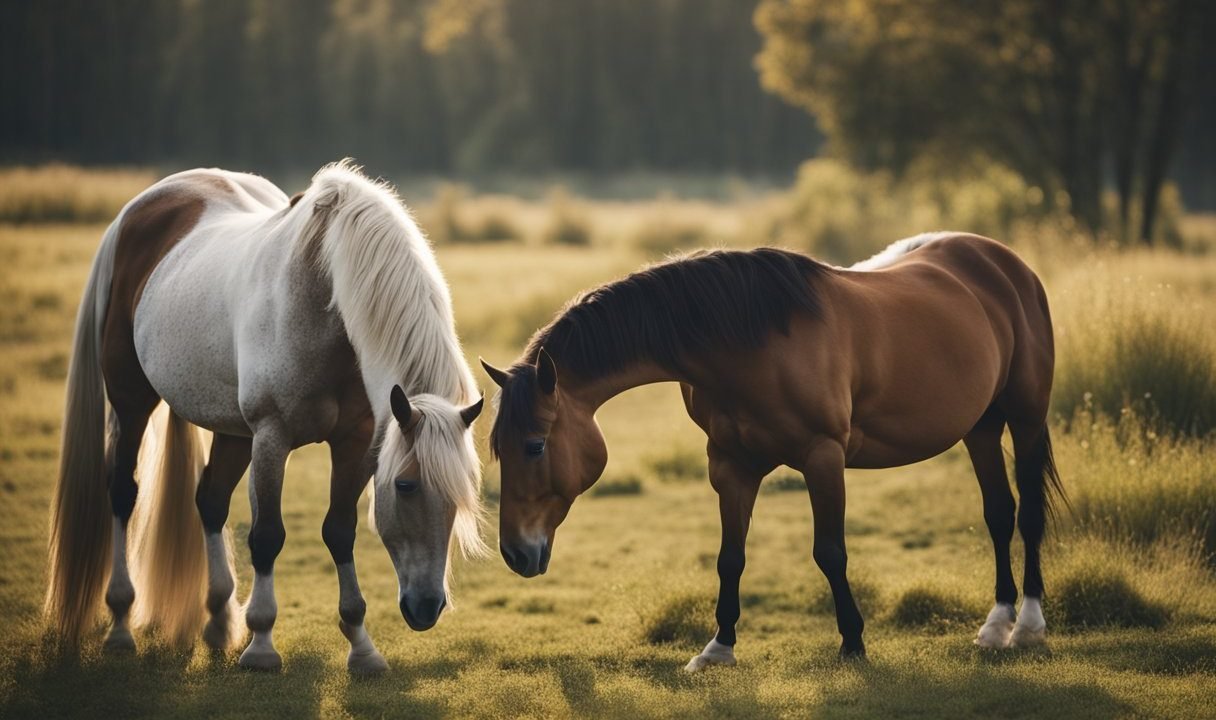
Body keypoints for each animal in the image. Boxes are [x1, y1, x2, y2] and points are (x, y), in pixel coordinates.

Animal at [46, 160, 483, 671]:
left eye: (462, 492)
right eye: (406, 486)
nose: (426, 608)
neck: (321, 296)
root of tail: (139, 209)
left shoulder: (355, 443)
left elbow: (339, 530)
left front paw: (361, 646)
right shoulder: (272, 437)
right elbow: (268, 535)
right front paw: (261, 645)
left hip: (233, 432)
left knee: (210, 500)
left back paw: (218, 622)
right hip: (132, 402)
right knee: (122, 492)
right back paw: (120, 624)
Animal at [479, 234, 1060, 671]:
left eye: (535, 446)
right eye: (499, 450)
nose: (515, 553)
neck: (747, 344)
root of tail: (1003, 263)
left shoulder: (823, 457)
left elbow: (830, 552)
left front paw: (853, 643)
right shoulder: (730, 465)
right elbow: (730, 557)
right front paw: (718, 648)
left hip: (1026, 418)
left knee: (1028, 513)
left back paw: (1027, 625)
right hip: (980, 428)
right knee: (998, 514)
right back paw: (996, 625)